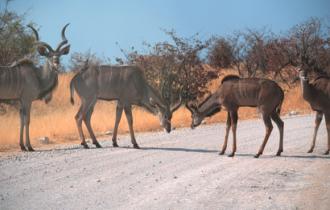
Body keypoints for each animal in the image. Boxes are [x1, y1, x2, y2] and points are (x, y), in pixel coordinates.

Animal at [0, 23, 69, 151]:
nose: (56, 64)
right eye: (49, 56)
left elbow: (21, 120)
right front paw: (29, 146)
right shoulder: (27, 100)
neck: (38, 76)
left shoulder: (21, 100)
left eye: (59, 55)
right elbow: (27, 120)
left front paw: (22, 146)